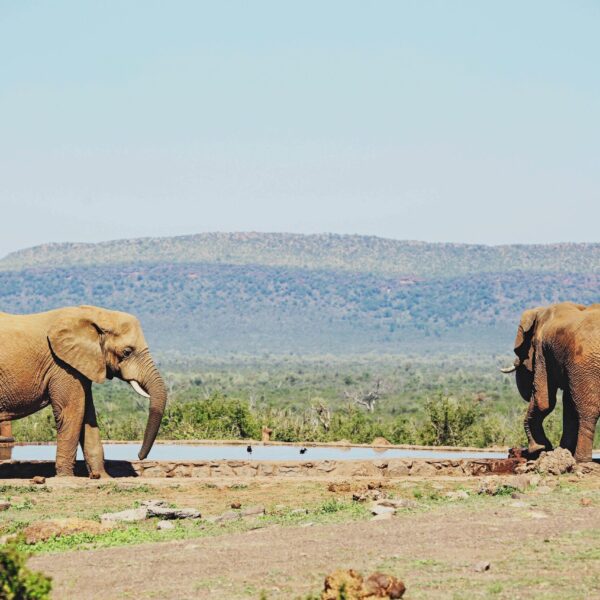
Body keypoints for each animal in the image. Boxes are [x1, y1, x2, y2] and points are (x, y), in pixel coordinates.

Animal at [0, 305, 167, 476]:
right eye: (127, 352)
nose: (139, 456)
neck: (94, 315)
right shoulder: (62, 365)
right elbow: (71, 412)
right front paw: (66, 477)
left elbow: (88, 415)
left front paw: (102, 477)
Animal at [501, 301, 600, 462]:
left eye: (519, 350)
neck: (539, 311)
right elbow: (567, 403)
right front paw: (559, 451)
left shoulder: (541, 350)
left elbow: (544, 403)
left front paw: (539, 449)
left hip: (586, 362)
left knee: (587, 410)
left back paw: (580, 460)